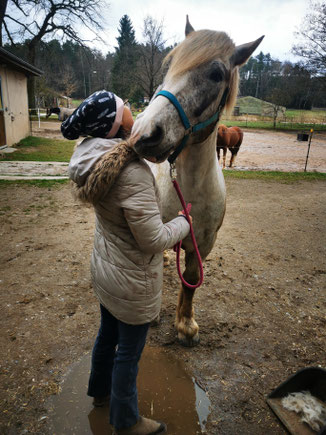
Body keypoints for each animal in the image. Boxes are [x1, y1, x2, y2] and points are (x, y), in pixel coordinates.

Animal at [131, 17, 264, 348]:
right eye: (170, 64)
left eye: (216, 74)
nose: (144, 133)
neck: (188, 191)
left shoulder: (202, 244)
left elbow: (190, 282)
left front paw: (186, 325)